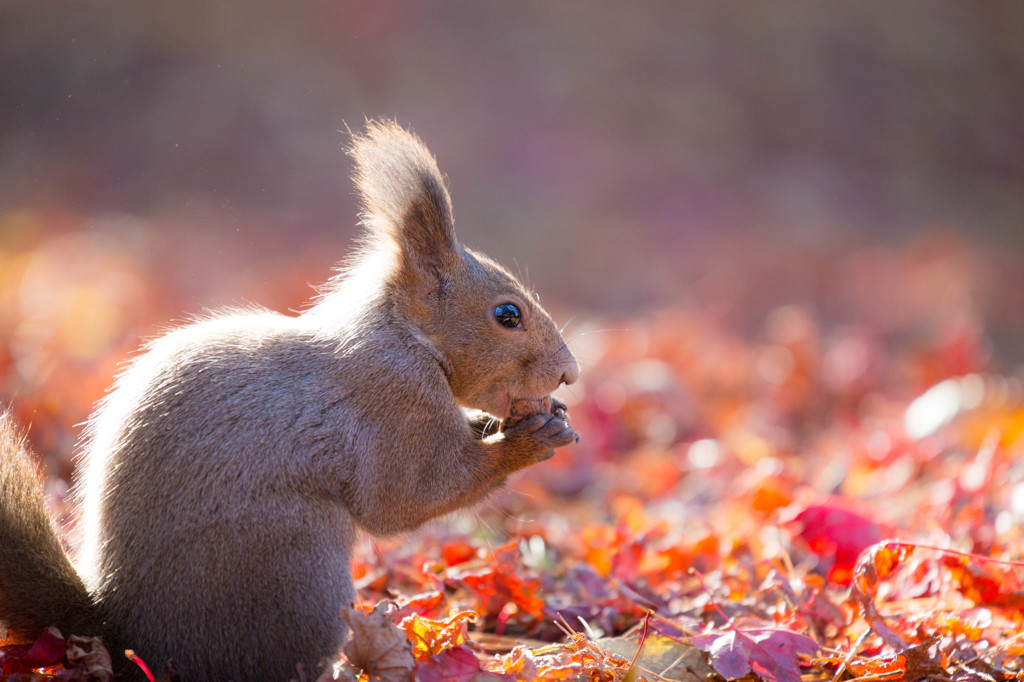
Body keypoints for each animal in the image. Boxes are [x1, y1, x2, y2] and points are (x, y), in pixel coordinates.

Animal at [0, 122, 577, 679]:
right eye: (507, 314)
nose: (569, 373)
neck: (404, 334)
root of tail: (123, 637)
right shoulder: (394, 405)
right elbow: (412, 495)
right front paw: (527, 443)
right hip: (299, 565)